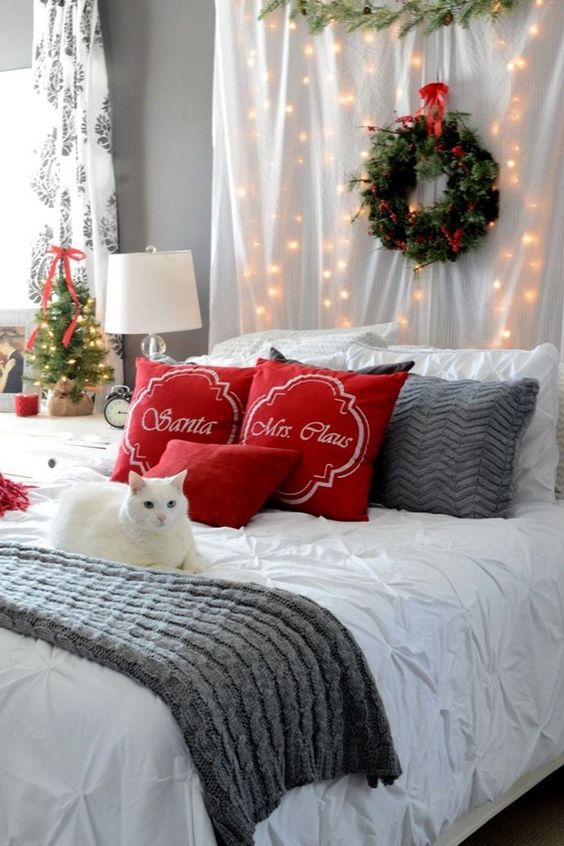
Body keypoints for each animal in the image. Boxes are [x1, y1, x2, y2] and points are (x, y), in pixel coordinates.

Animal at [51, 470, 203, 576]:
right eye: (148, 504)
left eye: (171, 504)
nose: (162, 517)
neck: (166, 535)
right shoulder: (143, 564)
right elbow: (170, 569)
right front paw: (187, 572)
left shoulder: (190, 544)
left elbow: (191, 556)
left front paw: (195, 567)